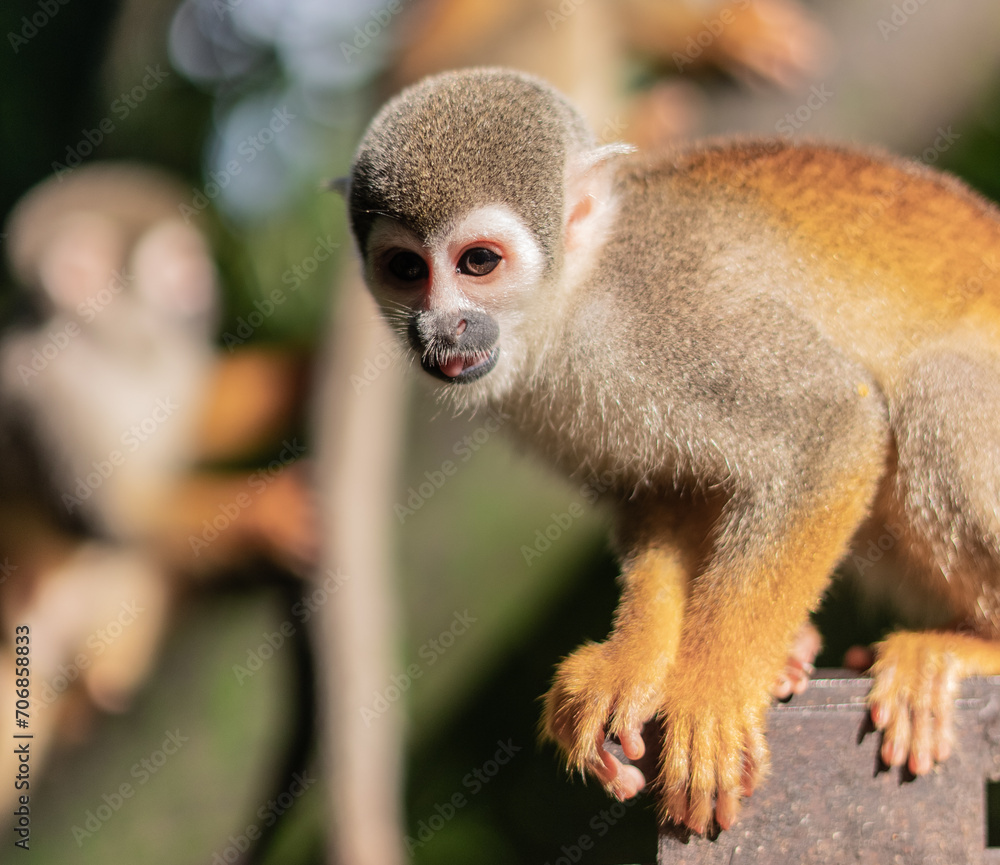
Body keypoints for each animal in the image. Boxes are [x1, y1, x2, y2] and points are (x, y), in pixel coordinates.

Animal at [335, 67, 1000, 835]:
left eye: (477, 262)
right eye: (405, 268)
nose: (441, 328)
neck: (571, 305)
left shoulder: (670, 322)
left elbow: (830, 426)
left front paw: (712, 687)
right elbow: (663, 494)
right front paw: (636, 660)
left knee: (935, 390)